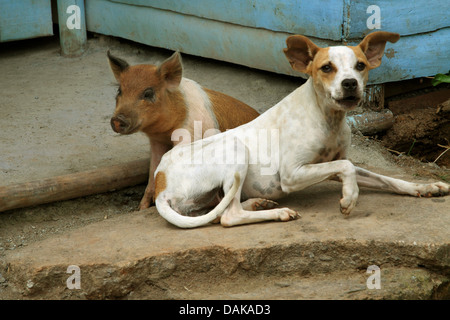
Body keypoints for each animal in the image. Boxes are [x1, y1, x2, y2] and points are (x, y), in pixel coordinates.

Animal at [154, 31, 446, 228]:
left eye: (360, 66)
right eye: (326, 68)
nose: (350, 83)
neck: (326, 118)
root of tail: (160, 182)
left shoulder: (334, 162)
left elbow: (385, 178)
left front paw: (425, 187)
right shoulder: (292, 174)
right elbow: (348, 169)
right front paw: (350, 198)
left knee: (219, 210)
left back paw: (257, 202)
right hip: (233, 149)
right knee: (228, 216)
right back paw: (277, 212)